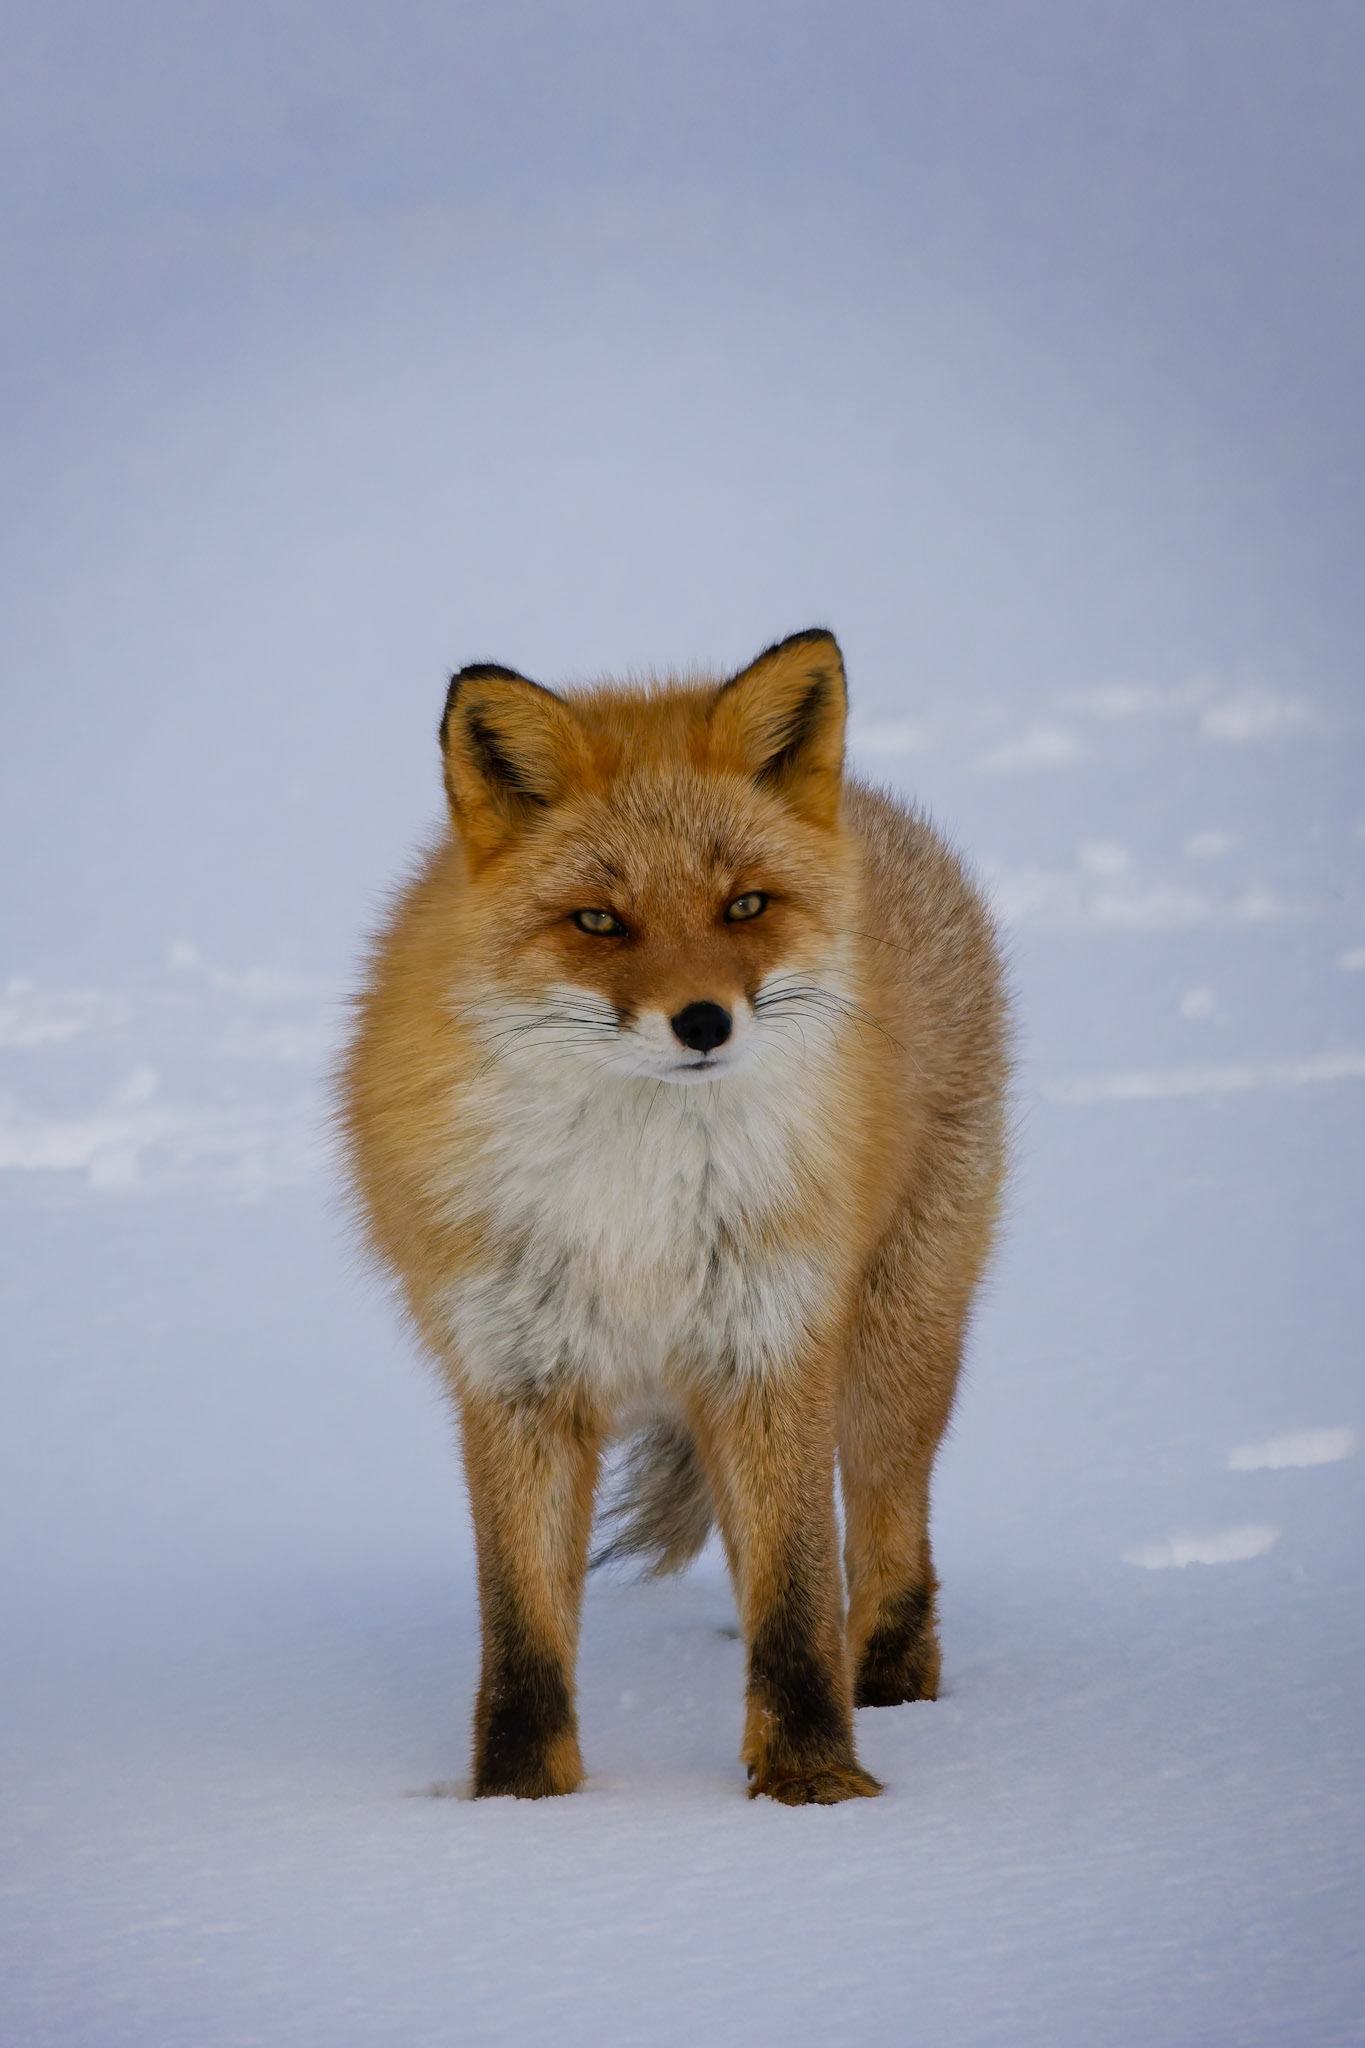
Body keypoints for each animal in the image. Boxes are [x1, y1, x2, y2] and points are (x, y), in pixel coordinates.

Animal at [339, 627, 1009, 1805]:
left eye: (743, 906)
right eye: (599, 920)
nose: (703, 1022)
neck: (637, 1198)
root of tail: (880, 809)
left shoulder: (770, 1347)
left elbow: (795, 1603)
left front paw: (815, 1787)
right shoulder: (517, 1374)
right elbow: (523, 1631)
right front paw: (517, 1805)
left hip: (890, 1355)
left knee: (885, 1536)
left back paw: (890, 1682)